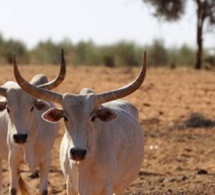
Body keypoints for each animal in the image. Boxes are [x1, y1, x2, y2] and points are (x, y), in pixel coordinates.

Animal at [0, 50, 65, 195]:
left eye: (31, 108)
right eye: (8, 108)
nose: (20, 137)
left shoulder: (46, 160)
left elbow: (43, 190)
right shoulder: (13, 160)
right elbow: (13, 189)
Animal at [13, 51, 148, 194]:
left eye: (93, 117)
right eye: (65, 117)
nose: (78, 152)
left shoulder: (108, 187)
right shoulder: (70, 185)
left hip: (120, 186)